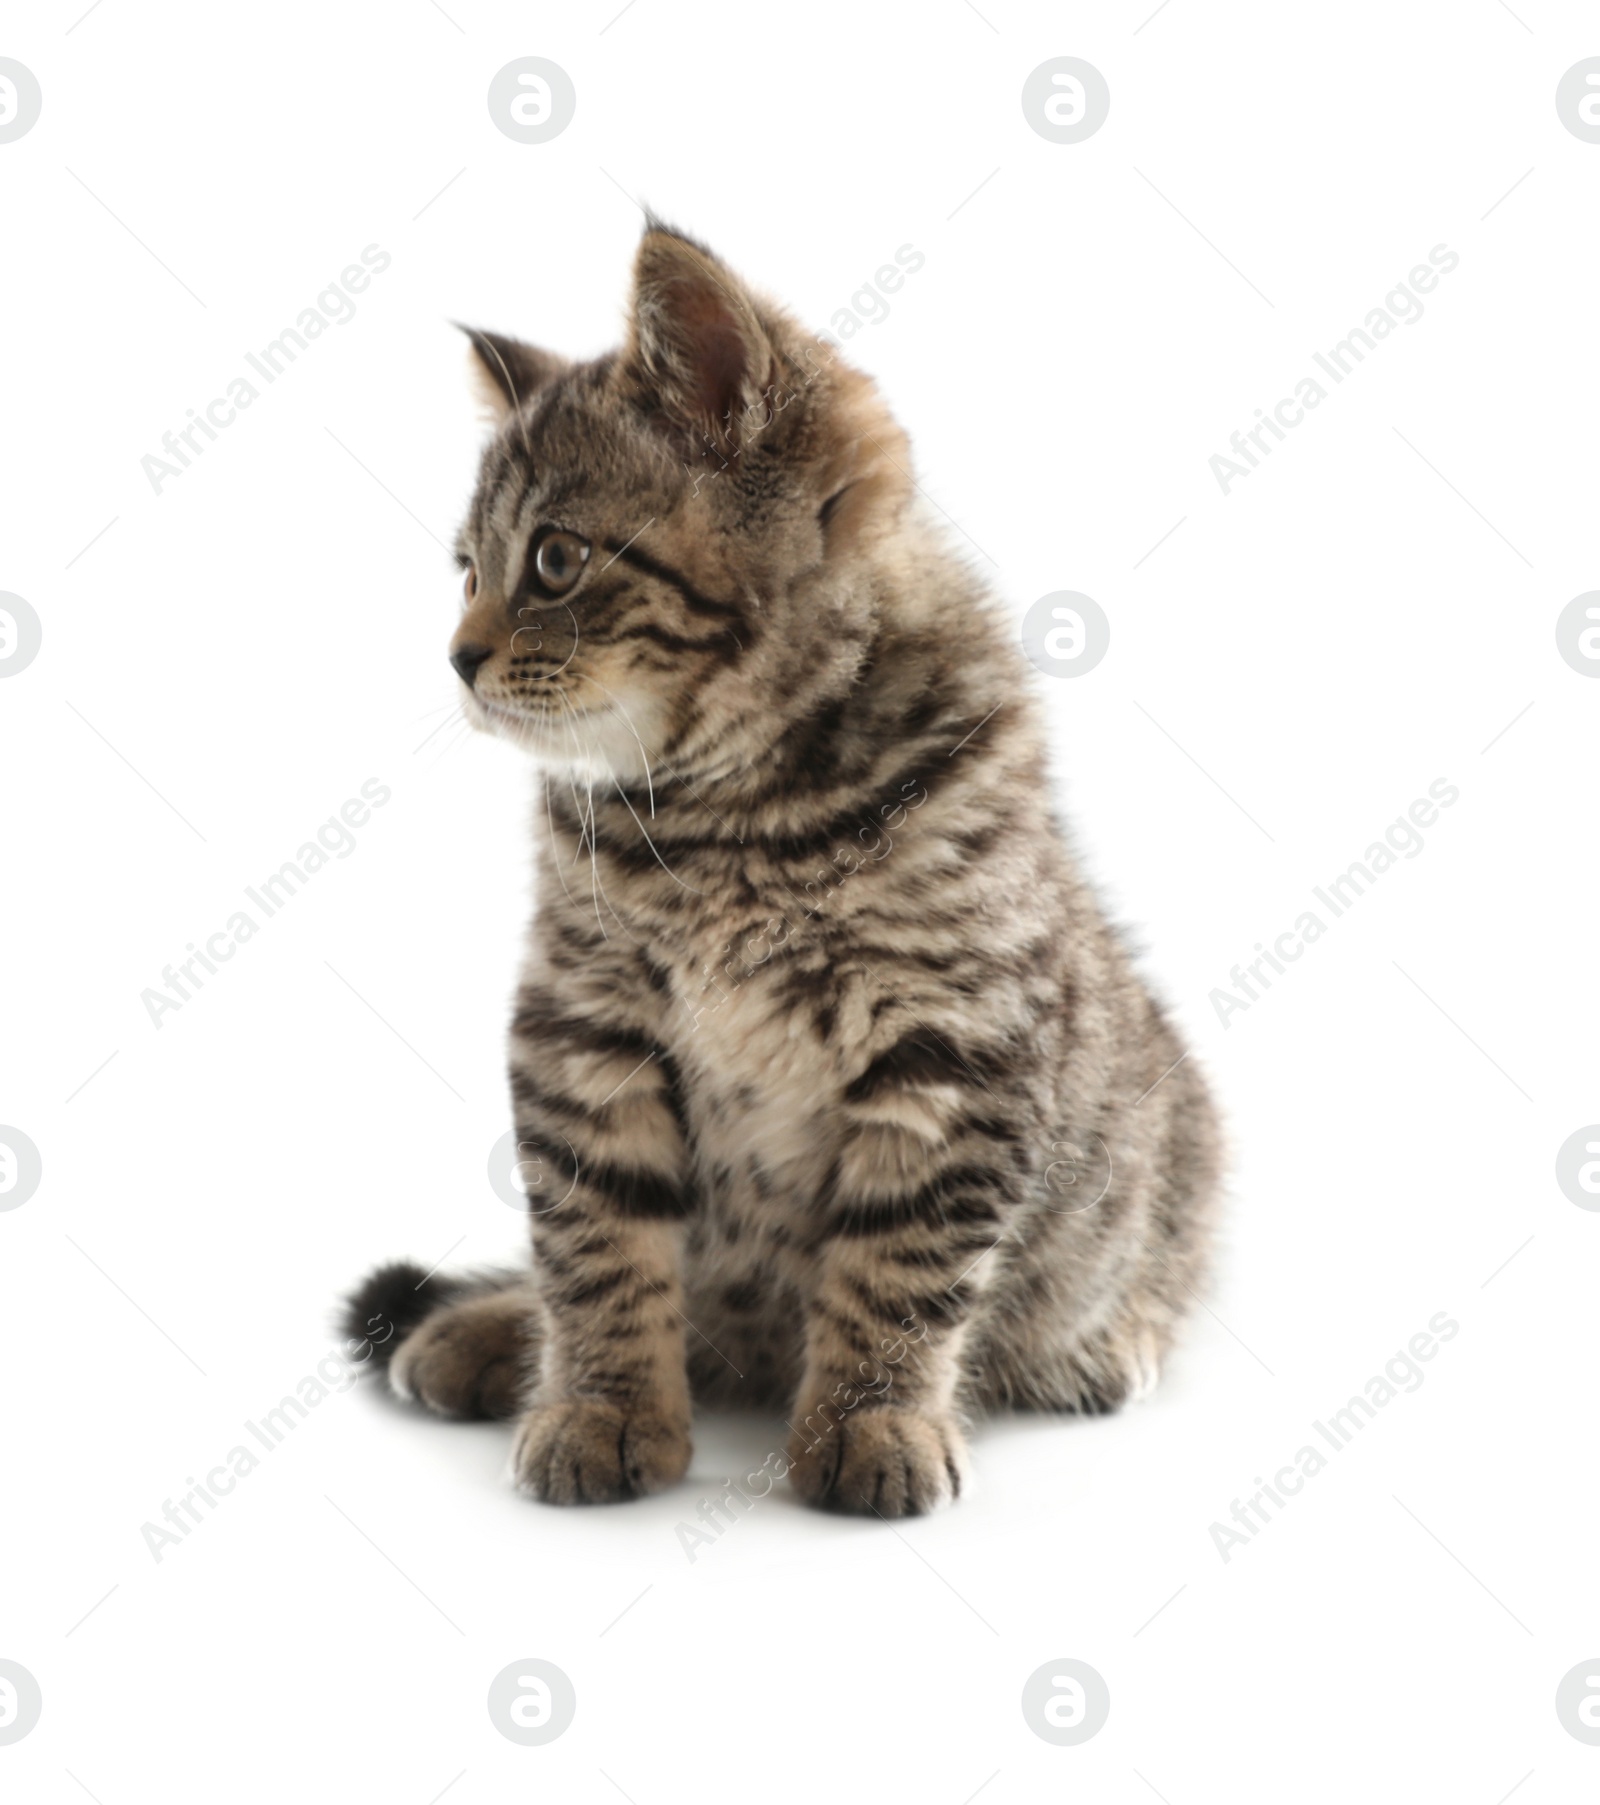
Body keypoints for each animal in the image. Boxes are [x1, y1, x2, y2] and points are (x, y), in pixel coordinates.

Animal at [344, 229, 1220, 1523]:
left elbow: (900, 1265)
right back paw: (490, 1329)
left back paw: (1100, 1343)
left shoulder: (954, 1039)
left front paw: (871, 1420)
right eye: (465, 572)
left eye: (553, 560)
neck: (738, 818)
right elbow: (594, 1243)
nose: (456, 657)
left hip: (1174, 1137)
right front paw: (601, 1402)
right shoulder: (582, 1025)